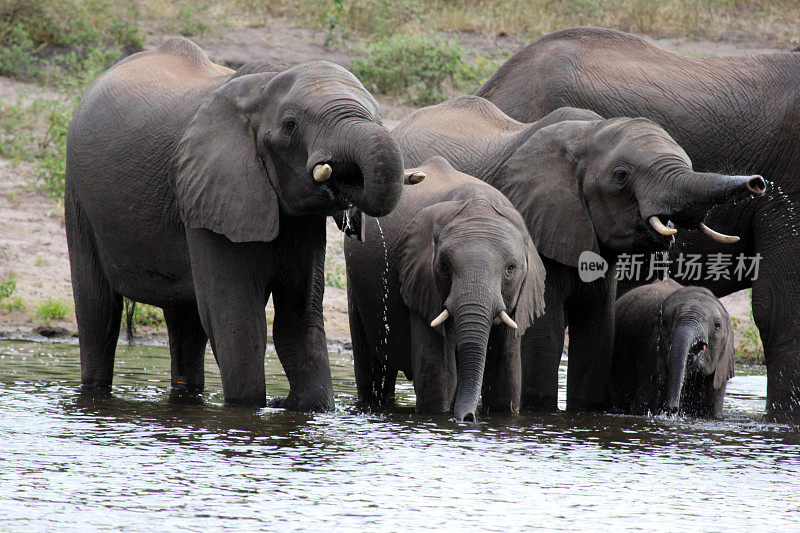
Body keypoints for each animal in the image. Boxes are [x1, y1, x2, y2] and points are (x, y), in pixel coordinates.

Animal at [66, 37, 406, 410]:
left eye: (378, 116)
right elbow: (238, 323)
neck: (262, 86)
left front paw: (306, 408)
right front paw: (251, 409)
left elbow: (299, 320)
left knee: (186, 321)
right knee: (98, 311)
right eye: (290, 125)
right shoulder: (211, 192)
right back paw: (95, 390)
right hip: (78, 194)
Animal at [346, 156, 548, 422]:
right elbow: (439, 375)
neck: (478, 205)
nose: (469, 417)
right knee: (371, 370)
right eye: (444, 266)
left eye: (510, 269)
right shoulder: (421, 281)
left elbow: (505, 377)